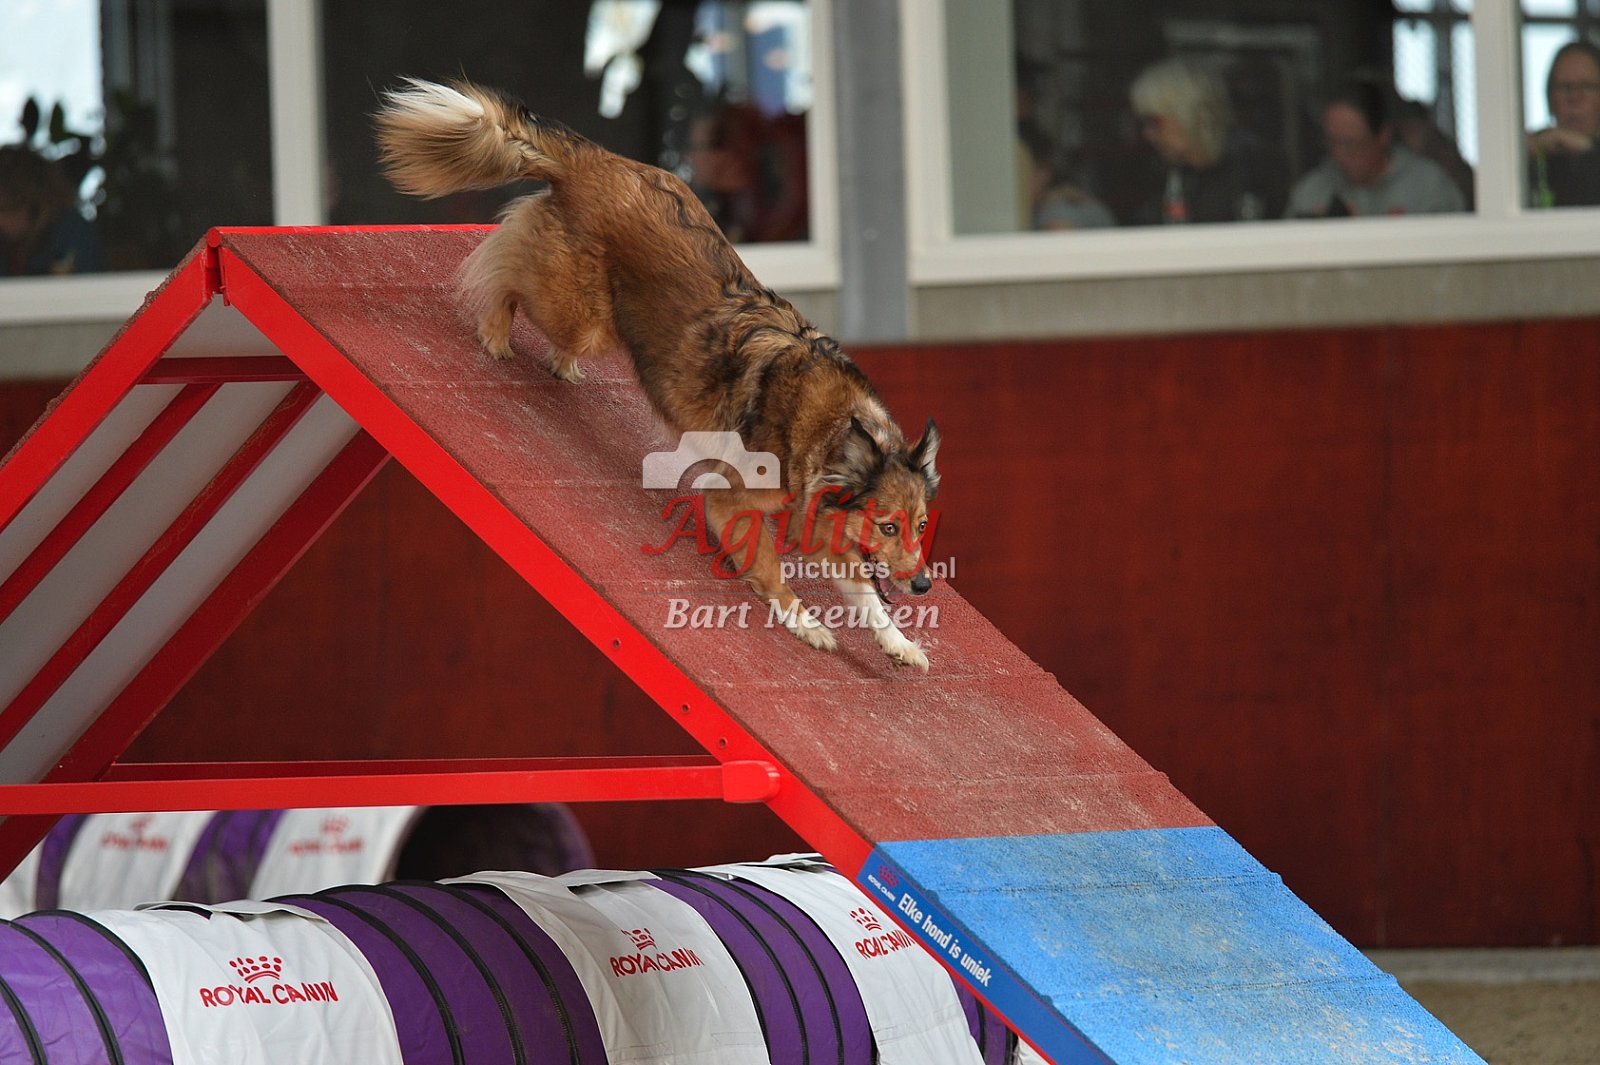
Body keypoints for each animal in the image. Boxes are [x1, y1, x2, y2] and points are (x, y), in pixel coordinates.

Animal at [374, 79, 940, 669]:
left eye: (922, 526)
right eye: (888, 525)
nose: (925, 585)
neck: (826, 427)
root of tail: (599, 159)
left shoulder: (825, 522)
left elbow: (867, 595)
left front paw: (900, 643)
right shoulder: (732, 497)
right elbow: (771, 567)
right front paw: (805, 623)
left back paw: (562, 365)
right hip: (580, 312)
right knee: (507, 269)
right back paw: (495, 332)